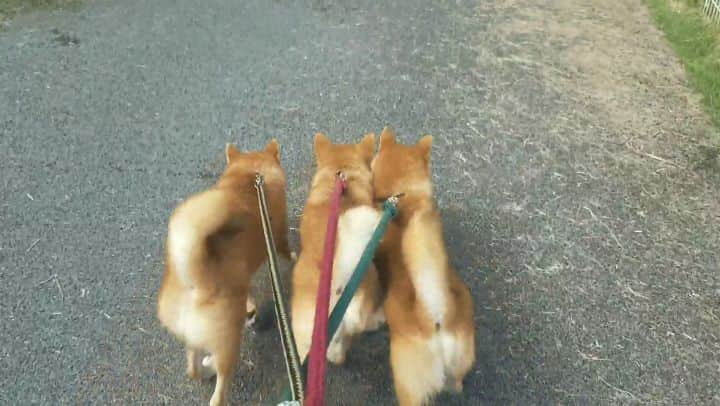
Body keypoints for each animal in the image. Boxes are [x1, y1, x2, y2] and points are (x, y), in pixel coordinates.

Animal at [158, 140, 290, 406]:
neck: (252, 175)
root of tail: (195, 281)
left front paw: (251, 309)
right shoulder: (278, 237)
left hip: (193, 335)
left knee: (193, 368)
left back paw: (207, 366)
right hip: (229, 342)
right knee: (218, 392)